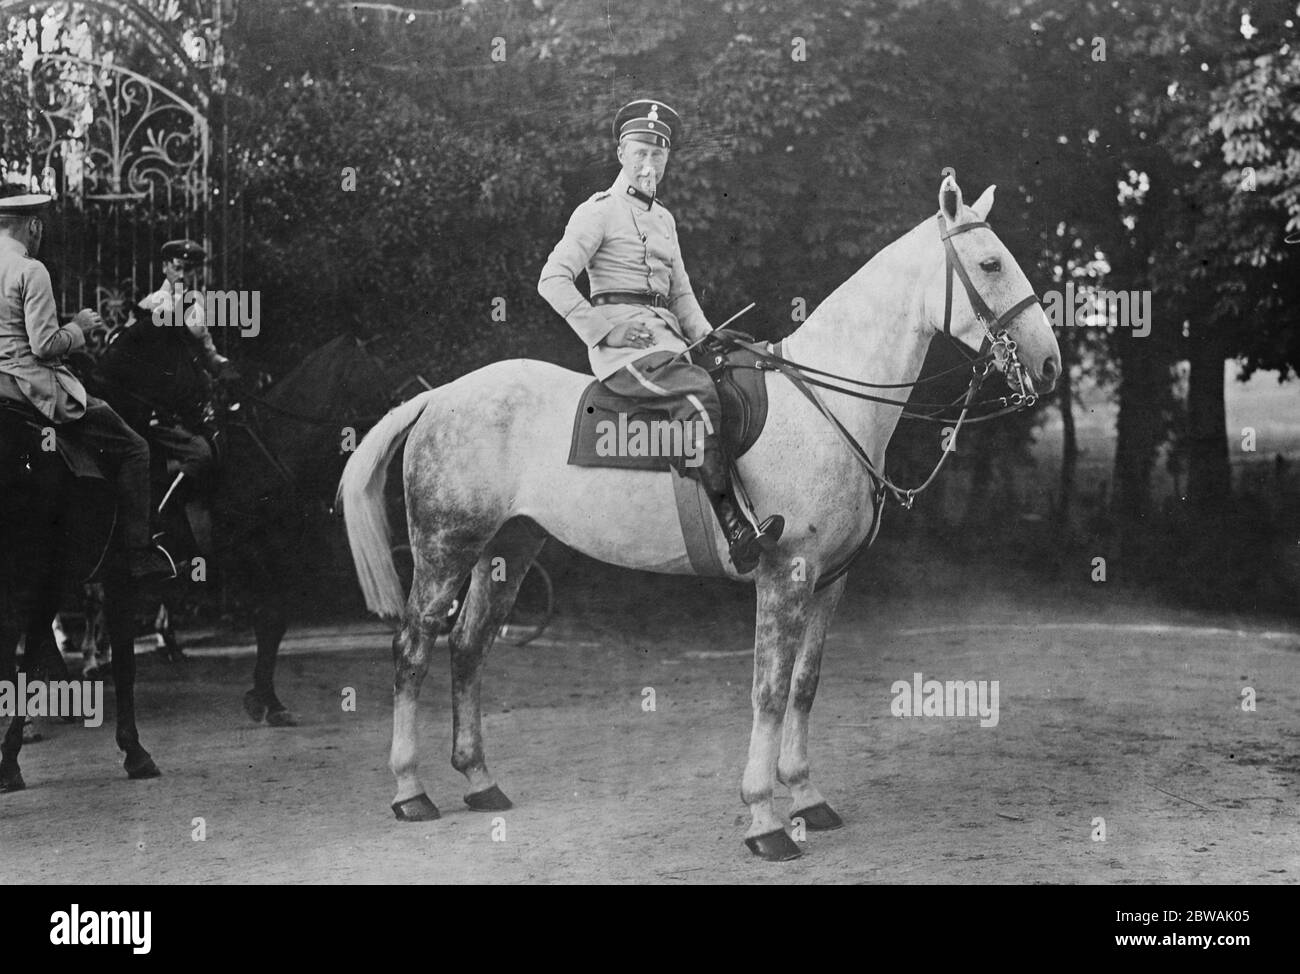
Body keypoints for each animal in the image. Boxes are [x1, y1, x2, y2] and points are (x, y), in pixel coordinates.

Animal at [340, 172, 1060, 858]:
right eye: (991, 262)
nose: (1048, 362)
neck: (827, 403)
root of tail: (440, 397)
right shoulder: (786, 574)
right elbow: (769, 691)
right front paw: (765, 820)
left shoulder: (830, 582)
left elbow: (805, 685)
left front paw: (807, 798)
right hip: (446, 549)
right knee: (414, 648)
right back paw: (411, 791)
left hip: (508, 550)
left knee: (468, 649)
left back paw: (480, 782)